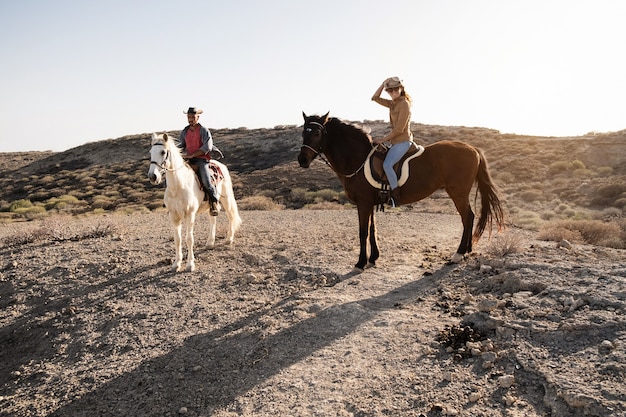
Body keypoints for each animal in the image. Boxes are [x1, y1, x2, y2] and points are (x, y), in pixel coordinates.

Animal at [147, 132, 240, 272]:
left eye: (163, 152)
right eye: (150, 152)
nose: (153, 176)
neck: (178, 186)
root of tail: (220, 165)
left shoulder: (190, 214)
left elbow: (189, 239)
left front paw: (190, 264)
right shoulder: (173, 216)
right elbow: (177, 239)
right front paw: (176, 264)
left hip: (227, 199)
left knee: (231, 216)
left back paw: (229, 239)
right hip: (210, 206)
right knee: (212, 219)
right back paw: (210, 243)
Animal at [294, 113, 504, 270]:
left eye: (317, 133)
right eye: (303, 132)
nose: (302, 160)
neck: (358, 159)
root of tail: (473, 148)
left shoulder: (363, 203)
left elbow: (363, 232)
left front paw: (360, 262)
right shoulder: (370, 203)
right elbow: (373, 229)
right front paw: (373, 258)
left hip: (458, 193)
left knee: (467, 217)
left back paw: (458, 254)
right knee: (470, 217)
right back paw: (467, 250)